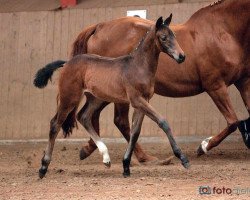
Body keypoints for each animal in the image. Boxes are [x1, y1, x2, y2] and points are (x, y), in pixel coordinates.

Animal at [34, 15, 188, 178]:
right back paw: (43, 167)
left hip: (96, 98)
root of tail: (67, 63)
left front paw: (126, 166)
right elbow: (162, 122)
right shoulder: (137, 100)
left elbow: (135, 132)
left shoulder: (143, 101)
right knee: (55, 124)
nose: (182, 56)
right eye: (164, 37)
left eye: (174, 35)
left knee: (84, 116)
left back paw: (106, 158)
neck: (138, 67)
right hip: (69, 97)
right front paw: (183, 158)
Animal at [42, 0, 249, 161]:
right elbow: (233, 122)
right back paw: (140, 157)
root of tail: (99, 26)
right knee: (118, 121)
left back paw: (93, 150)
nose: (182, 56)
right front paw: (203, 146)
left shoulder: (243, 82)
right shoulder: (215, 85)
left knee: (94, 116)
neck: (223, 31)